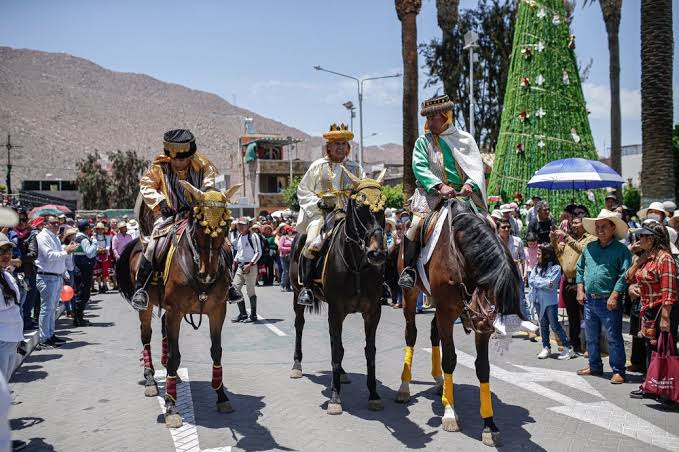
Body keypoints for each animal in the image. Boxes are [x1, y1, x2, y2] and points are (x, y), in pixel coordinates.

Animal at [117, 181, 242, 428]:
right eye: (199, 227)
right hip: (146, 307)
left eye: (225, 227)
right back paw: (151, 379)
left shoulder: (217, 311)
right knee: (146, 337)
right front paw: (171, 405)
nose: (207, 274)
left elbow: (216, 351)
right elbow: (176, 356)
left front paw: (221, 395)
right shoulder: (176, 312)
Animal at [396, 200, 524, 446]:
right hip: (411, 295)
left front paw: (489, 425)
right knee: (411, 334)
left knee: (434, 332)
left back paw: (440, 383)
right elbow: (450, 360)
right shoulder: (448, 312)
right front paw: (449, 414)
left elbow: (483, 367)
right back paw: (405, 388)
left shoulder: (473, 323)